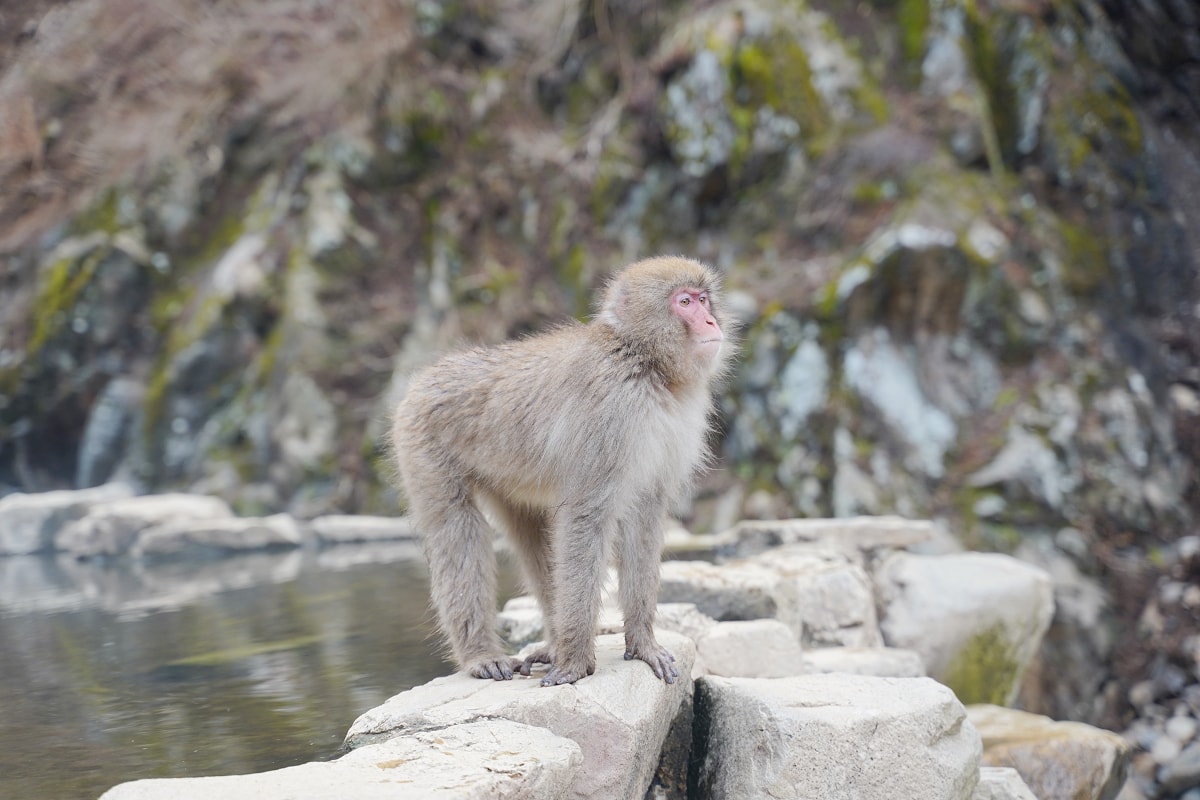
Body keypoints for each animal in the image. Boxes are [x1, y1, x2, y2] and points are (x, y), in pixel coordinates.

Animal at [390, 256, 733, 686]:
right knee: (455, 528)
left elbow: (644, 518)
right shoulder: (610, 411)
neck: (644, 363)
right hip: (422, 443)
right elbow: (586, 517)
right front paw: (574, 662)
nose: (710, 321)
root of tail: (427, 375)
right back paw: (482, 654)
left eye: (703, 299)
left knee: (532, 533)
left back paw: (551, 643)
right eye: (684, 302)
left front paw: (641, 643)